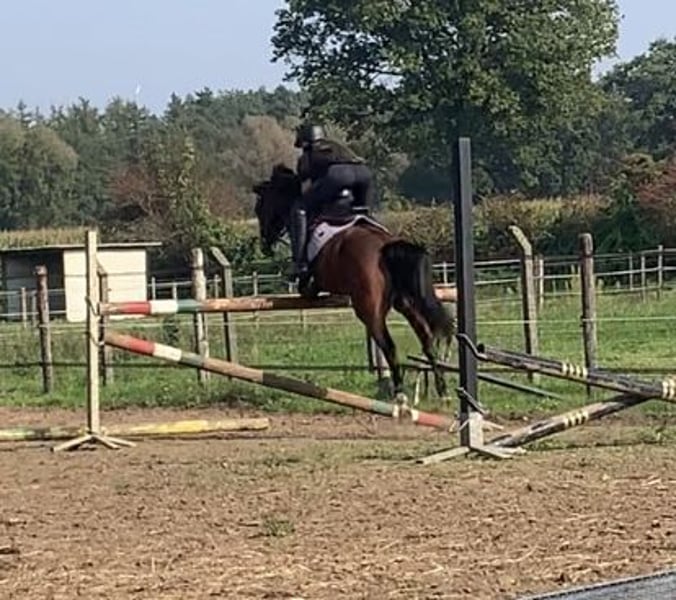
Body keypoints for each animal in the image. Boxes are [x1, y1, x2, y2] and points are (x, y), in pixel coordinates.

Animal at [251, 163, 456, 405]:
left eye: (260, 208)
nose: (264, 246)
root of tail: (385, 246)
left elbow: (306, 284)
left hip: (369, 310)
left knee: (389, 345)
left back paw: (400, 394)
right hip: (405, 303)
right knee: (427, 340)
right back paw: (443, 392)